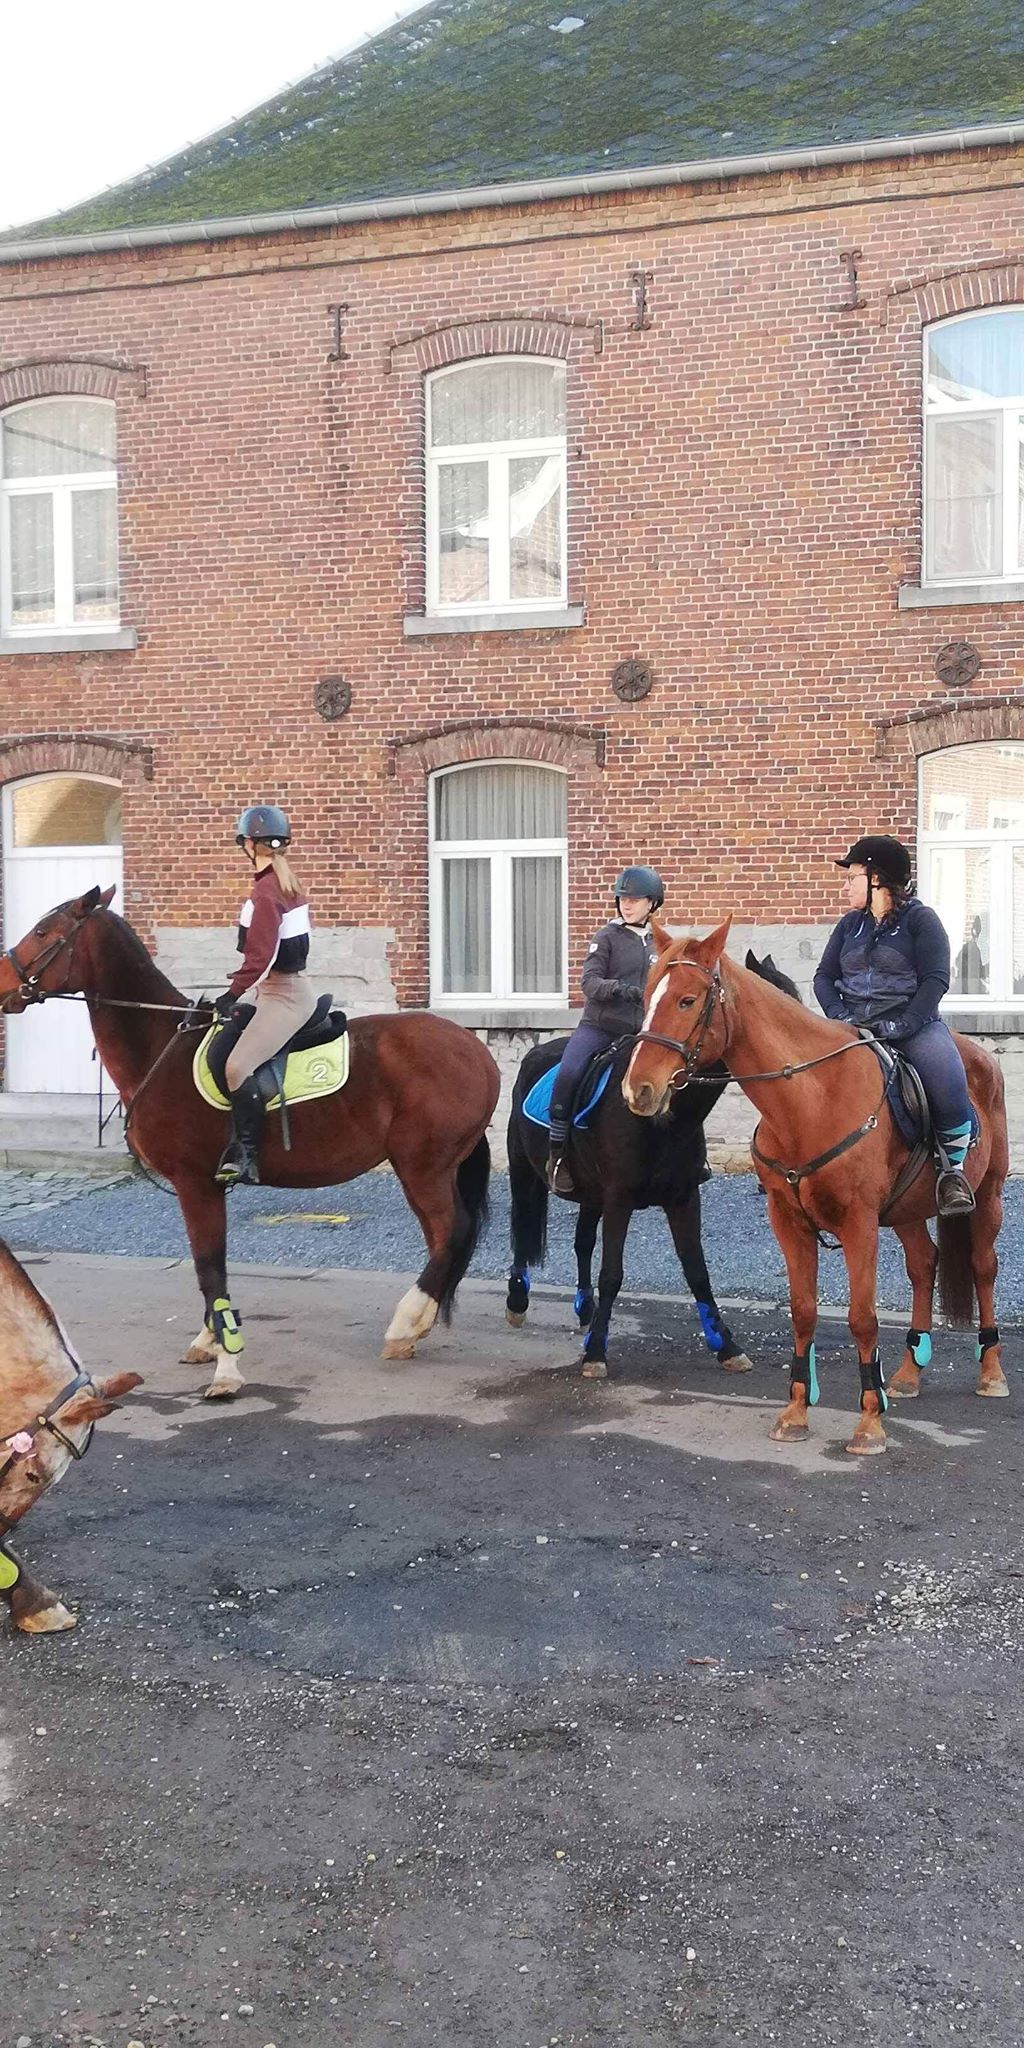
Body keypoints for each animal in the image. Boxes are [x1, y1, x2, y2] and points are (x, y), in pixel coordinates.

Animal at [0, 888, 499, 1399]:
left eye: (43, 932)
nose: (4, 984)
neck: (163, 1049)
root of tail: (476, 1051)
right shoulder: (202, 1188)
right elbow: (210, 1268)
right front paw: (209, 1341)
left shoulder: (196, 1184)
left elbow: (209, 1266)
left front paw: (227, 1367)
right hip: (426, 1168)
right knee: (442, 1237)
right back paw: (417, 1325)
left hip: (422, 1166)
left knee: (449, 1231)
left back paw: (404, 1323)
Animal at [503, 952, 796, 1376]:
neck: (664, 1119)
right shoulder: (619, 1200)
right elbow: (612, 1273)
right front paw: (596, 1354)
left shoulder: (683, 1198)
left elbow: (697, 1272)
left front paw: (726, 1346)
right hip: (525, 1172)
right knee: (522, 1231)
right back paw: (518, 1302)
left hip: (591, 1193)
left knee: (581, 1241)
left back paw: (585, 1310)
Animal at [622, 918, 1009, 1454]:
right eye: (646, 996)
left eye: (687, 1000)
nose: (637, 1089)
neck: (808, 1102)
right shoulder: (788, 1222)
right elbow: (803, 1312)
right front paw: (796, 1411)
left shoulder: (859, 1223)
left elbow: (862, 1318)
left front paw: (869, 1422)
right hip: (907, 1211)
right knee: (922, 1264)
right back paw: (908, 1373)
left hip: (987, 1195)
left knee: (982, 1268)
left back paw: (991, 1372)